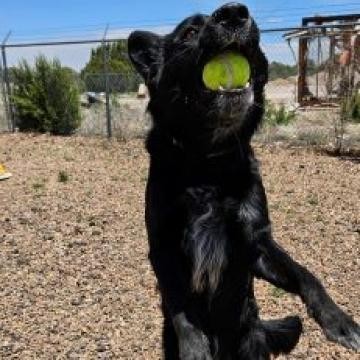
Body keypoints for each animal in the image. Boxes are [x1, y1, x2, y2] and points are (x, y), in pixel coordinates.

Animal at [128, 3, 358, 360]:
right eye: (190, 32)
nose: (234, 12)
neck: (208, 163)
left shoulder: (257, 242)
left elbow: (305, 274)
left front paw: (338, 320)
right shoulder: (162, 248)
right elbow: (182, 308)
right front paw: (195, 348)